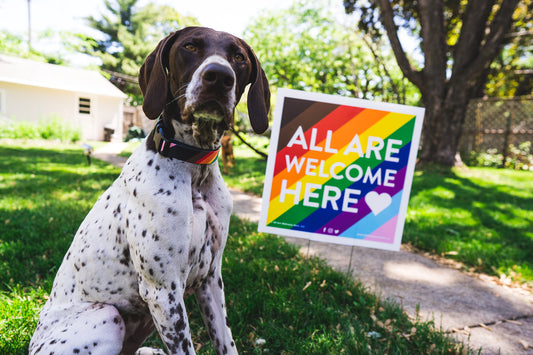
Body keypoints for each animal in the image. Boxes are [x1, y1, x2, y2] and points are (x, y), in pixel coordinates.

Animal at [28, 26, 268, 354]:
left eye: (238, 57)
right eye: (190, 46)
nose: (219, 77)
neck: (194, 168)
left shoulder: (210, 279)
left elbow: (226, 343)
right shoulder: (164, 291)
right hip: (108, 317)